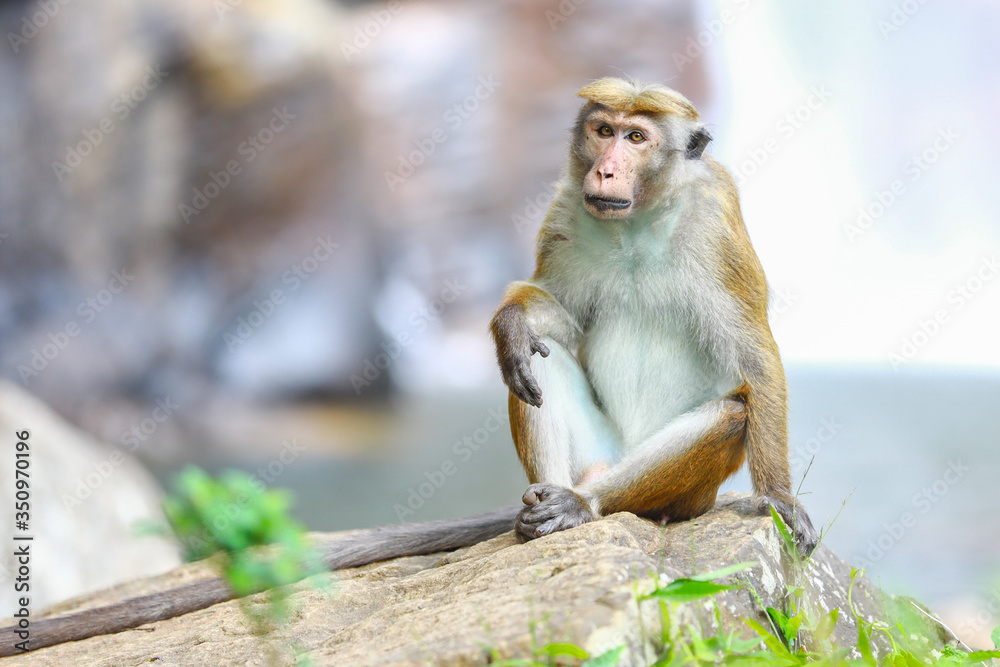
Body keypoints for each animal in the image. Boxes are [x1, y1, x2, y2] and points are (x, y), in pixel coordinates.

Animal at [489, 77, 818, 552]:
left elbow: (756, 359)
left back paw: (580, 504)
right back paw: (544, 504)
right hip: (599, 449)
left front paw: (778, 497)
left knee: (732, 415)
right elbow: (561, 318)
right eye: (604, 131)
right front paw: (511, 323)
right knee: (536, 354)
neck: (638, 222)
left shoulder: (718, 224)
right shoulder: (565, 213)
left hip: (687, 497)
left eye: (636, 138)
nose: (605, 171)